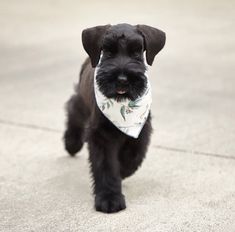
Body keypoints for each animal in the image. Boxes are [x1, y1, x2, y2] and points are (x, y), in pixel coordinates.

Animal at [63, 23, 164, 214]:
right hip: (82, 102)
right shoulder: (101, 135)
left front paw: (123, 170)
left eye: (136, 52)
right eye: (108, 51)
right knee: (73, 107)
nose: (122, 79)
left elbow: (135, 153)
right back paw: (71, 143)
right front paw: (109, 198)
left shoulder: (141, 128)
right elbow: (106, 166)